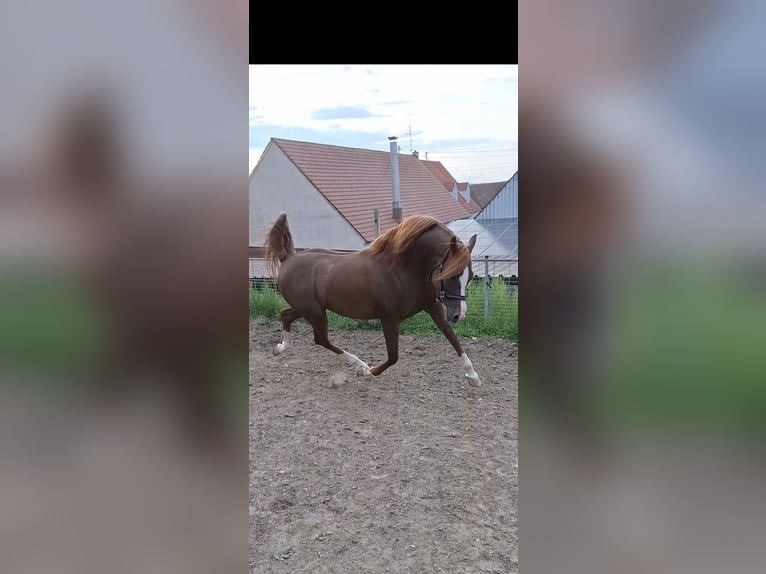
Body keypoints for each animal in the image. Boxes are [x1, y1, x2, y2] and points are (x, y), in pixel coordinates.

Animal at [264, 213, 480, 388]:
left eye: (470, 275)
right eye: (451, 274)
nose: (460, 315)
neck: (404, 269)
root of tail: (287, 259)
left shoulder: (432, 306)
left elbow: (452, 336)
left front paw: (473, 377)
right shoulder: (389, 317)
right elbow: (393, 356)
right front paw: (369, 371)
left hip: (309, 309)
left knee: (286, 316)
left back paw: (280, 348)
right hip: (315, 312)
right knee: (321, 339)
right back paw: (360, 365)